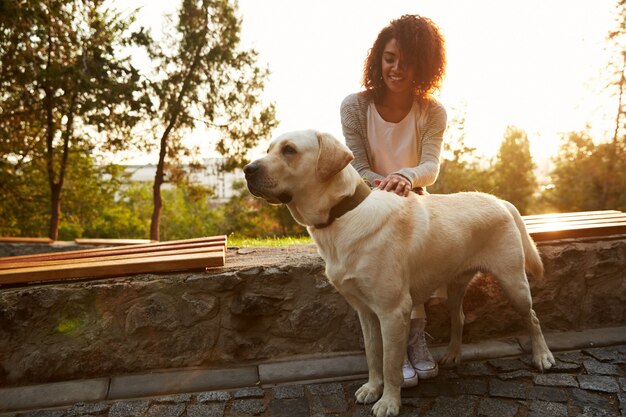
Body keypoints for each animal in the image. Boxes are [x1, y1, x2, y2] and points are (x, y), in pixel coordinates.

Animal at [243, 128, 552, 414]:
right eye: (269, 149)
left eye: (289, 150)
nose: (247, 170)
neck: (342, 215)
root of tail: (500, 201)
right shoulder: (366, 312)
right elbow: (373, 355)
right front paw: (372, 388)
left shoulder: (392, 310)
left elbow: (391, 362)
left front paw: (389, 401)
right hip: (454, 285)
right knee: (460, 317)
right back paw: (453, 354)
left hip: (514, 283)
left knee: (533, 317)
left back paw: (542, 356)